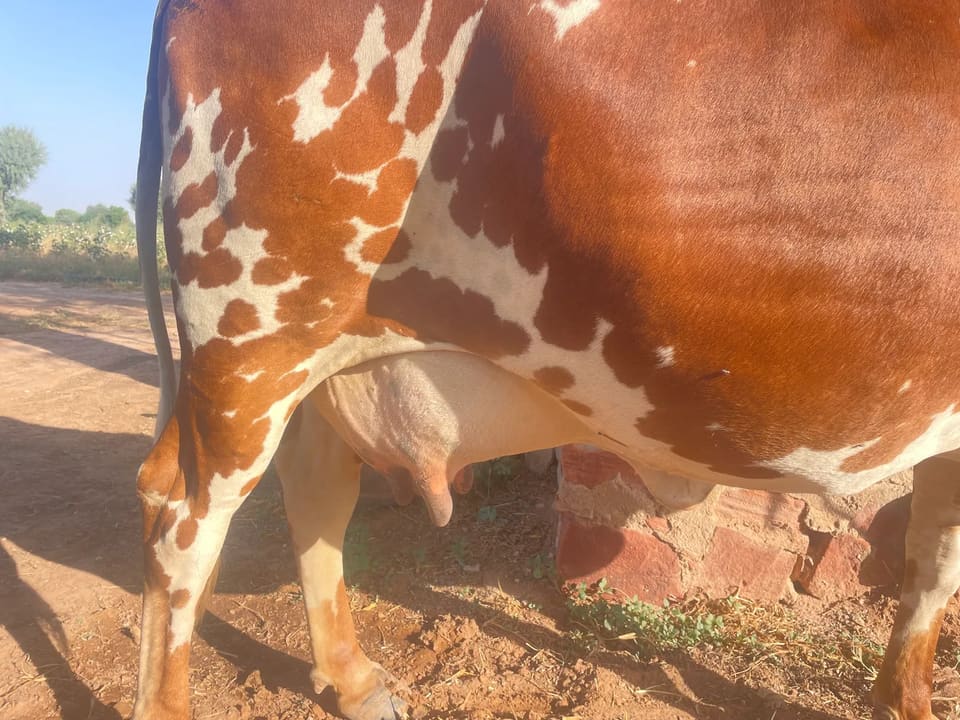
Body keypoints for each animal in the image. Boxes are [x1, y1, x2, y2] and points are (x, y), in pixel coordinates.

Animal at [132, 1, 960, 719]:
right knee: (182, 526)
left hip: (317, 354)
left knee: (313, 491)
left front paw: (903, 701)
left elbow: (932, 563)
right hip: (250, 341)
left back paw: (355, 680)